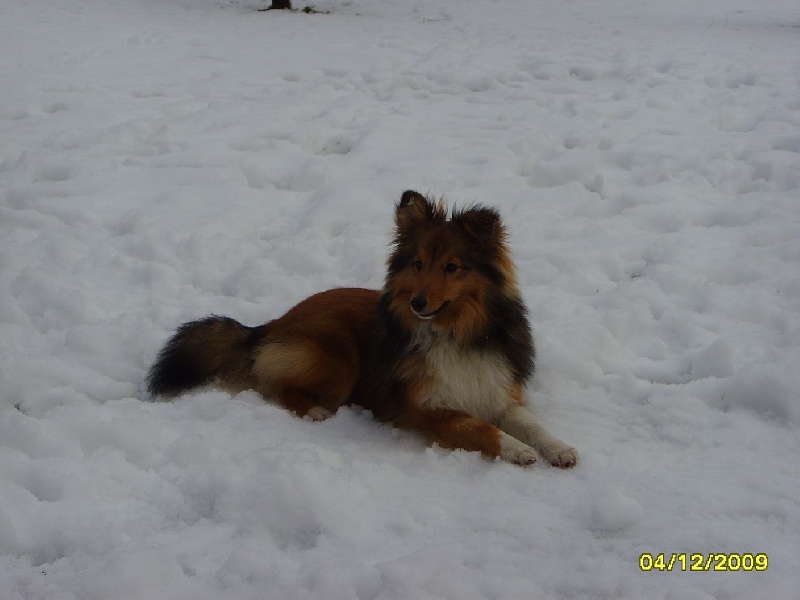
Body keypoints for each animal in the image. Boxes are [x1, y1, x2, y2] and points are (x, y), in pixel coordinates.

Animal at [147, 192, 580, 468]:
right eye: (418, 264)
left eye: (452, 267)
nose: (417, 303)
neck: (453, 332)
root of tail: (270, 325)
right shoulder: (428, 409)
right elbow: (480, 427)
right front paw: (517, 451)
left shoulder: (497, 391)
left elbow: (533, 425)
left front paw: (559, 449)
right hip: (340, 360)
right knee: (277, 386)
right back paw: (317, 411)